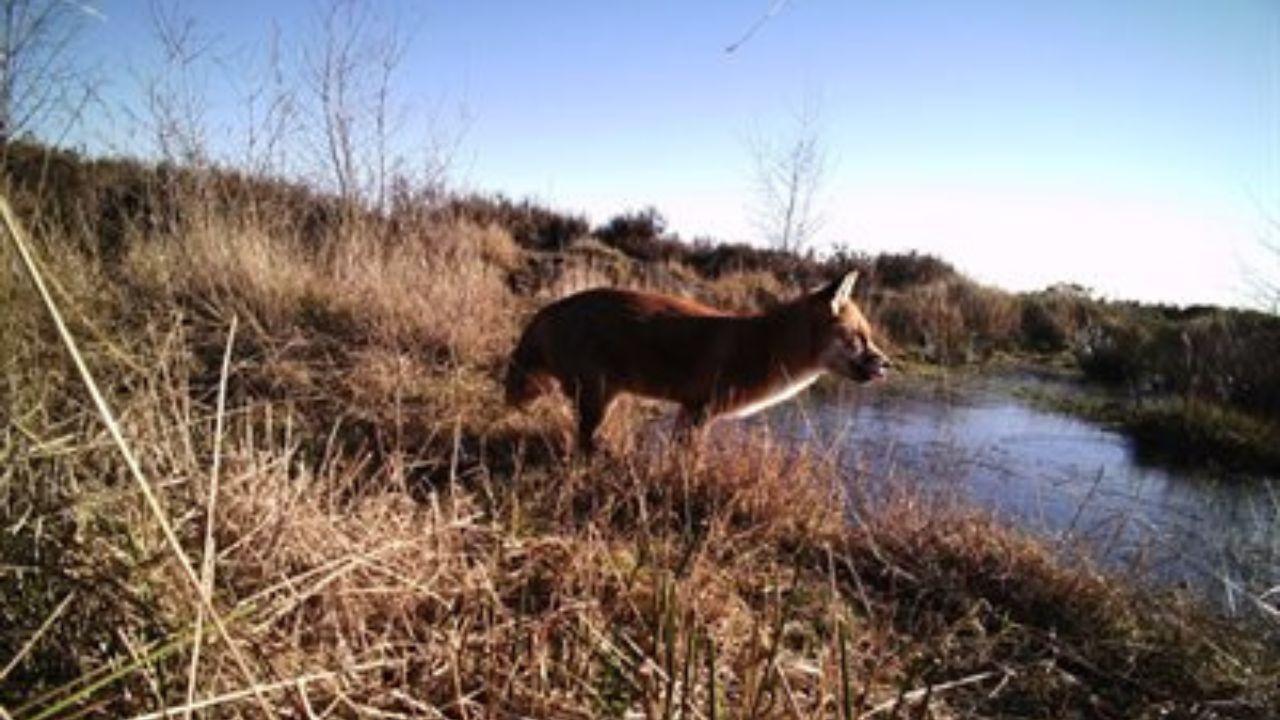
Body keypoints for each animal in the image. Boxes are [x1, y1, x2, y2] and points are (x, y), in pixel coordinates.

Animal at [504, 270, 890, 454]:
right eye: (859, 339)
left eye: (868, 337)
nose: (888, 365)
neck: (763, 348)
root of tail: (550, 309)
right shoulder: (699, 411)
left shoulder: (687, 412)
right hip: (597, 399)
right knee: (583, 441)